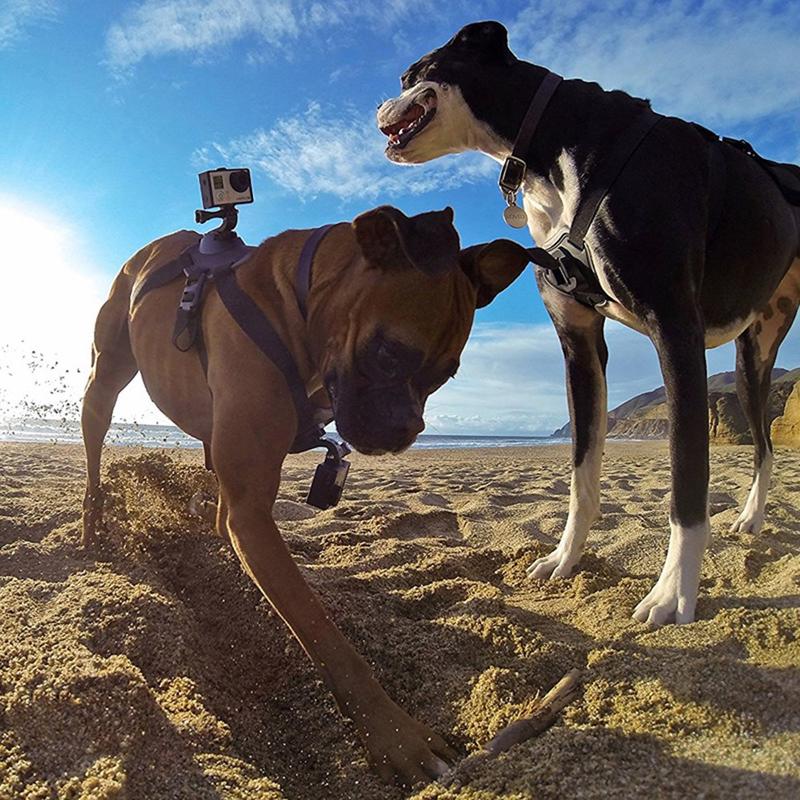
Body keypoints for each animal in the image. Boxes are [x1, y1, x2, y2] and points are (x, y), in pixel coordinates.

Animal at [80, 204, 529, 786]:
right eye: (388, 354)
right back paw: (93, 521)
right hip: (106, 372)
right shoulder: (252, 513)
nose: (410, 429)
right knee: (95, 439)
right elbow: (327, 637)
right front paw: (396, 736)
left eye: (445, 375)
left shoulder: (248, 503)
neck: (294, 306)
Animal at [377, 21, 800, 626]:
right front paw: (565, 557)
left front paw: (673, 591)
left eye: (413, 75)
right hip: (754, 352)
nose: (377, 108)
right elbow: (581, 472)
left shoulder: (676, 331)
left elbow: (687, 480)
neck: (550, 148)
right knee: (764, 444)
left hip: (749, 355)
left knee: (763, 444)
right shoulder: (578, 345)